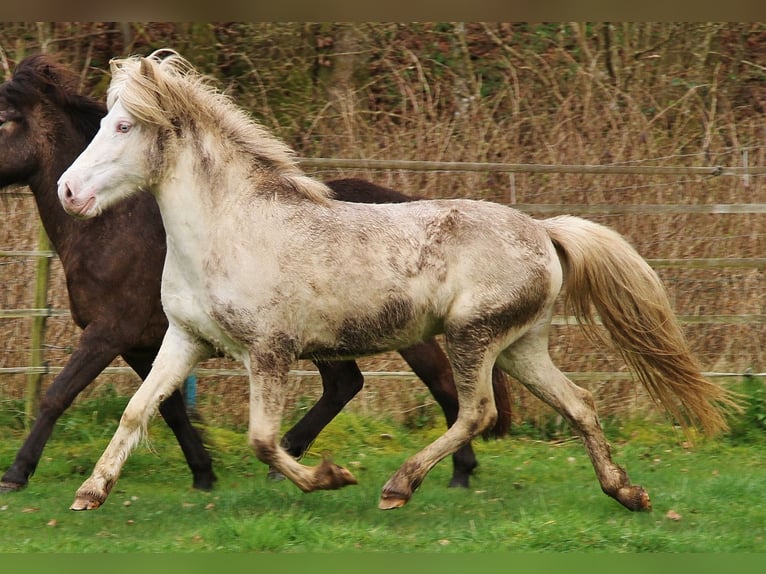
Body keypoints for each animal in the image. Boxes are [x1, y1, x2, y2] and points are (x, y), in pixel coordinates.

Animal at [1, 55, 516, 490]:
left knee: (444, 388)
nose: (70, 191)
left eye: (5, 120)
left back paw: (456, 473)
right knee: (347, 385)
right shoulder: (150, 341)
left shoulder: (110, 332)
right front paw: (203, 473)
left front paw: (16, 474)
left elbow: (57, 396)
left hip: (411, 335)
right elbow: (164, 409)